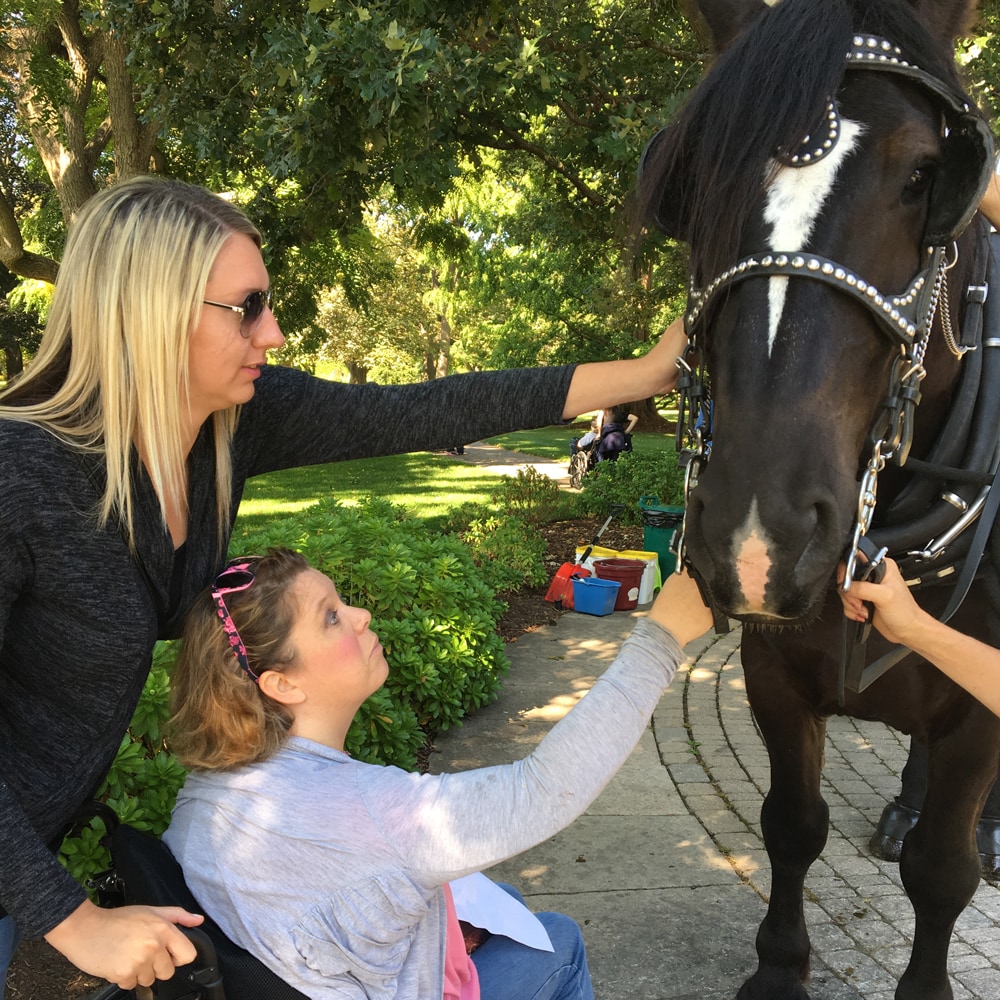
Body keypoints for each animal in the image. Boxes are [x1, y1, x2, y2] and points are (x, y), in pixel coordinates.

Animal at [636, 1, 996, 1000]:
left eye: (924, 176)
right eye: (692, 183)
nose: (761, 537)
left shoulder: (981, 705)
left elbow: (944, 873)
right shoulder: (775, 669)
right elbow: (792, 825)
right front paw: (779, 967)